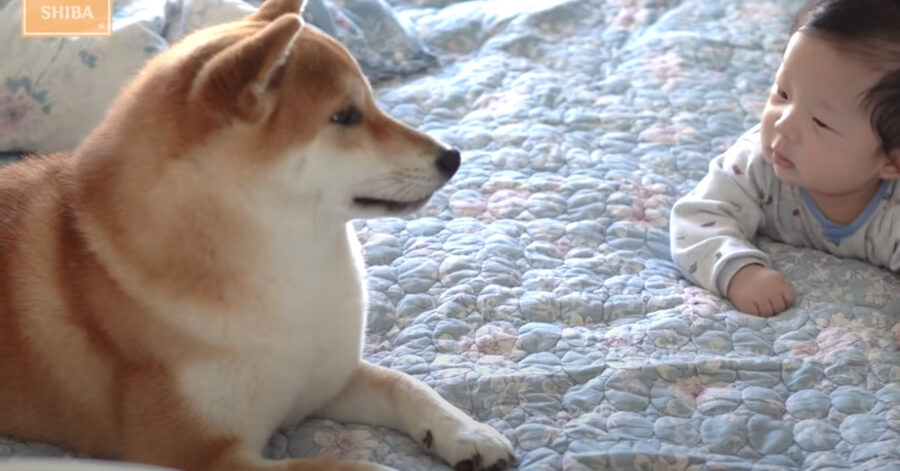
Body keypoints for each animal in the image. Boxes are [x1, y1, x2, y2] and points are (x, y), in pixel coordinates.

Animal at [0, 0, 516, 471]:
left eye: (371, 102)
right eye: (345, 116)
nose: (452, 156)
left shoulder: (322, 384)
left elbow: (403, 384)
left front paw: (466, 431)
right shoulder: (201, 453)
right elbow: (343, 466)